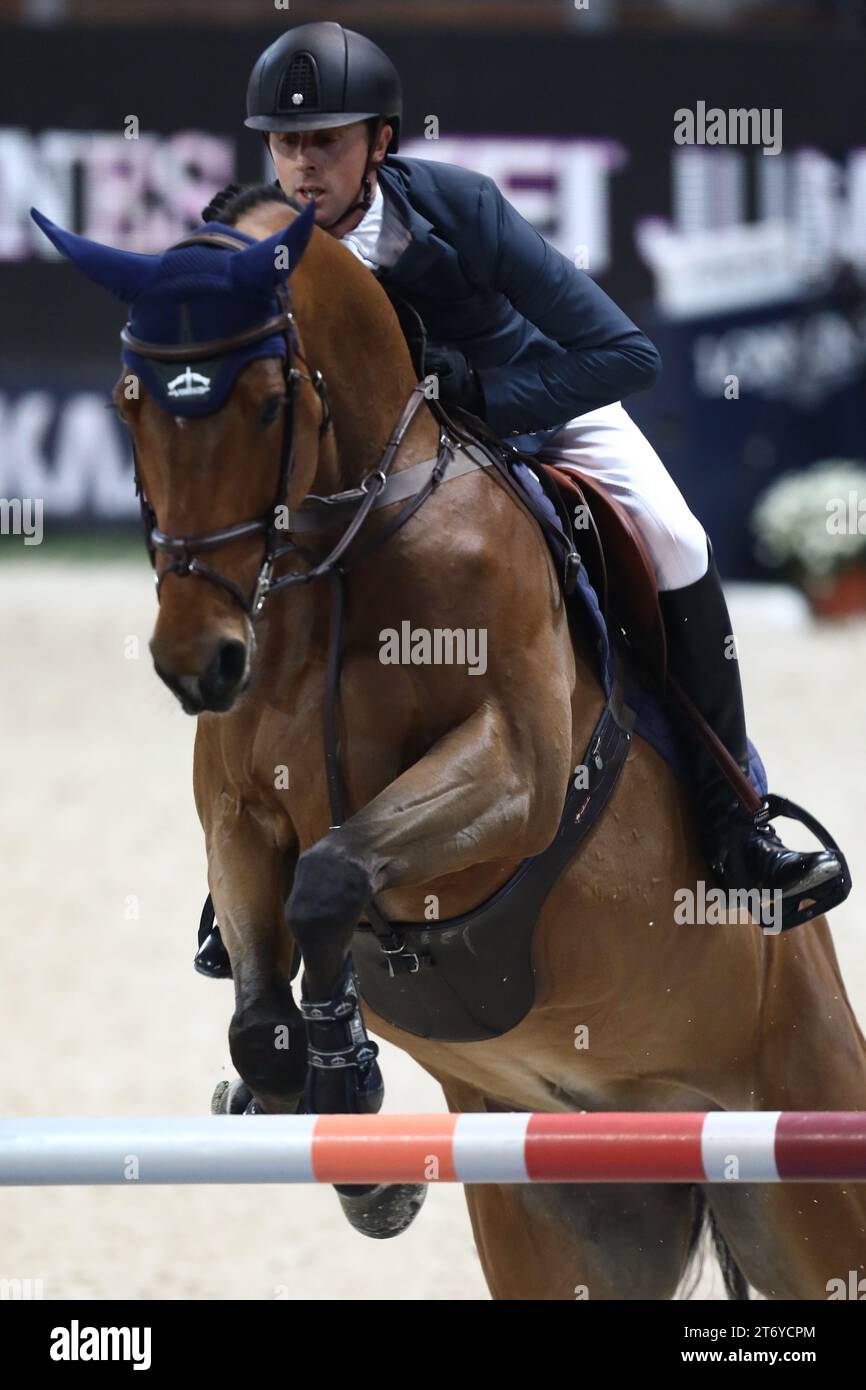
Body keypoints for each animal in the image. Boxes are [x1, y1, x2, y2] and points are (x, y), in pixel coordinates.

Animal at [33, 190, 866, 1295]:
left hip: (812, 1166)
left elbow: (336, 873)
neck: (344, 550)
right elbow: (263, 1007)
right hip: (571, 1225)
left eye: (266, 404)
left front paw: (346, 1077)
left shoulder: (514, 777)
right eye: (130, 405)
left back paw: (767, 858)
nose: (197, 661)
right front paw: (340, 1128)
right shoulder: (239, 812)